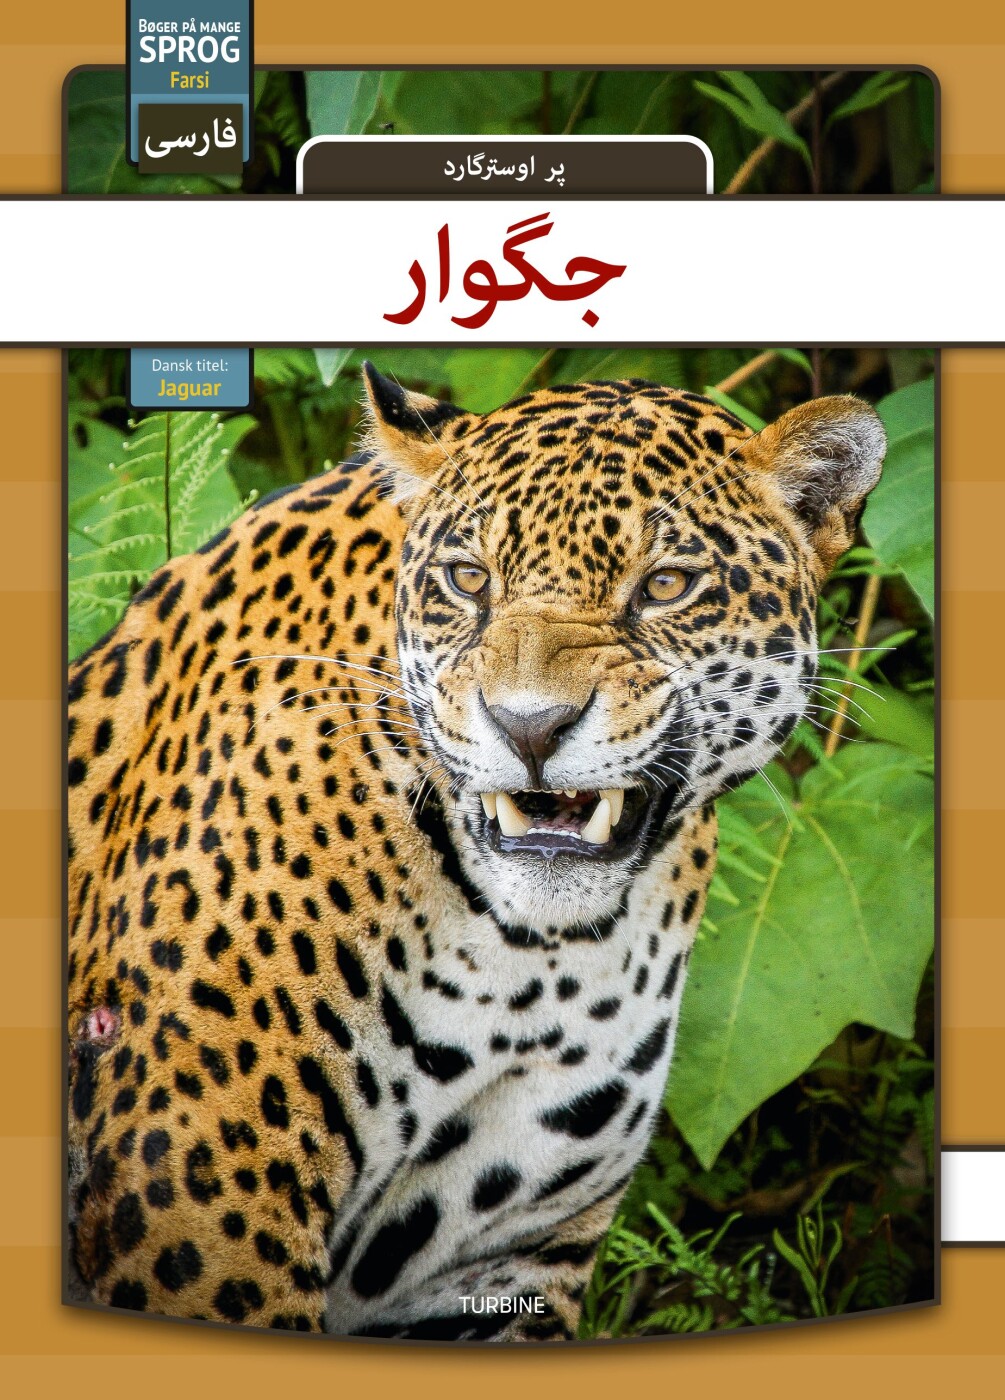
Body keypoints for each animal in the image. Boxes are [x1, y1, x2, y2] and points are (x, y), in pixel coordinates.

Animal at [66, 364, 885, 1340]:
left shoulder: (501, 1257)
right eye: (467, 580)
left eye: (665, 585)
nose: (528, 725)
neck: (528, 963)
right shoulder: (198, 1202)